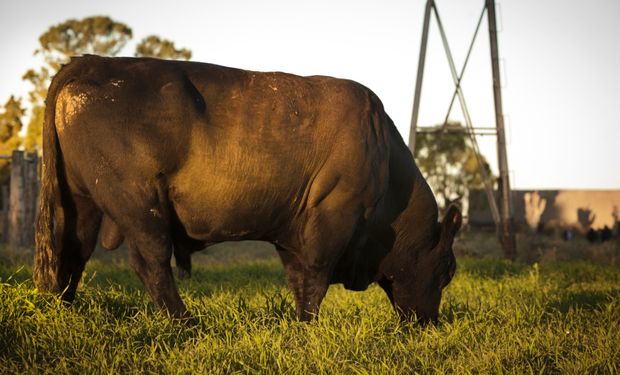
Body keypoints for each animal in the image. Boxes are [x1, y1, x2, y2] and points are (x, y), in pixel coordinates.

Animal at [34, 55, 460, 324]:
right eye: (447, 269)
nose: (429, 323)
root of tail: (95, 62)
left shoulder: (293, 232)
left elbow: (300, 281)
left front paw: (301, 325)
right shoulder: (334, 216)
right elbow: (316, 279)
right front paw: (308, 328)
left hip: (83, 202)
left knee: (73, 252)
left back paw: (65, 309)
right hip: (141, 205)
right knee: (150, 263)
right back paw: (186, 323)